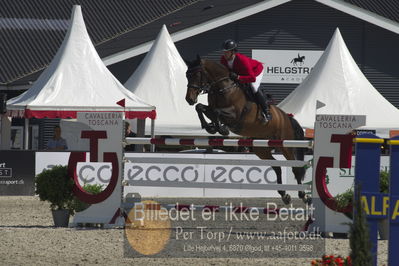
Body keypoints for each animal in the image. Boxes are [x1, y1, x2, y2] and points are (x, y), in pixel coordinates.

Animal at [186, 56, 310, 205]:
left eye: (196, 74)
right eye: (187, 75)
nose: (189, 99)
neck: (221, 87)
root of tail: (287, 117)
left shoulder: (235, 115)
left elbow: (216, 112)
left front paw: (221, 129)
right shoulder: (211, 108)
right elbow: (200, 107)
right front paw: (211, 127)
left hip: (285, 145)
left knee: (295, 168)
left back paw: (304, 196)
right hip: (261, 148)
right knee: (277, 167)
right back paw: (284, 195)